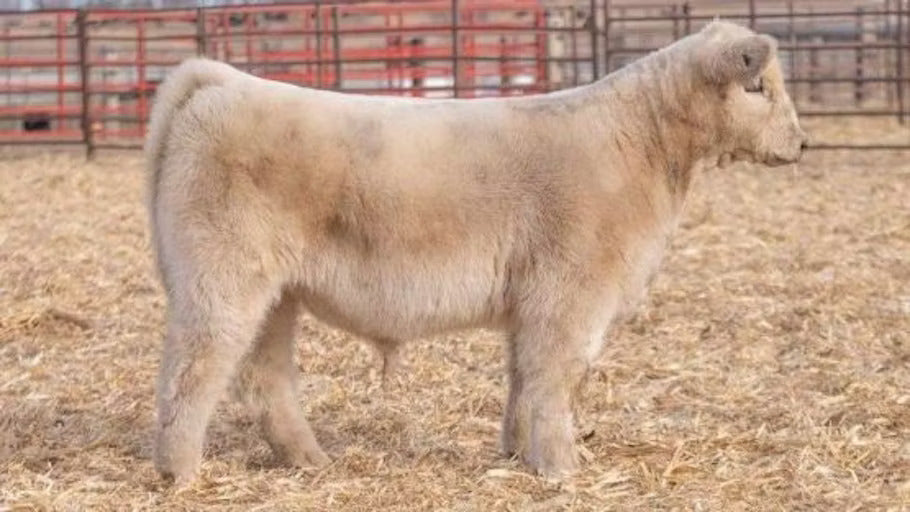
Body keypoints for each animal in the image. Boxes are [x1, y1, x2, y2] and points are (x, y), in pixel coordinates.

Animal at [145, 20, 807, 484]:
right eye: (757, 87)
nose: (802, 143)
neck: (638, 142)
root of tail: (222, 81)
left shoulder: (532, 300)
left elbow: (523, 377)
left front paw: (517, 452)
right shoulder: (570, 294)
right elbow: (556, 377)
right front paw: (562, 468)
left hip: (276, 294)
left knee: (265, 376)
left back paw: (308, 459)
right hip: (221, 280)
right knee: (192, 370)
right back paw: (181, 472)